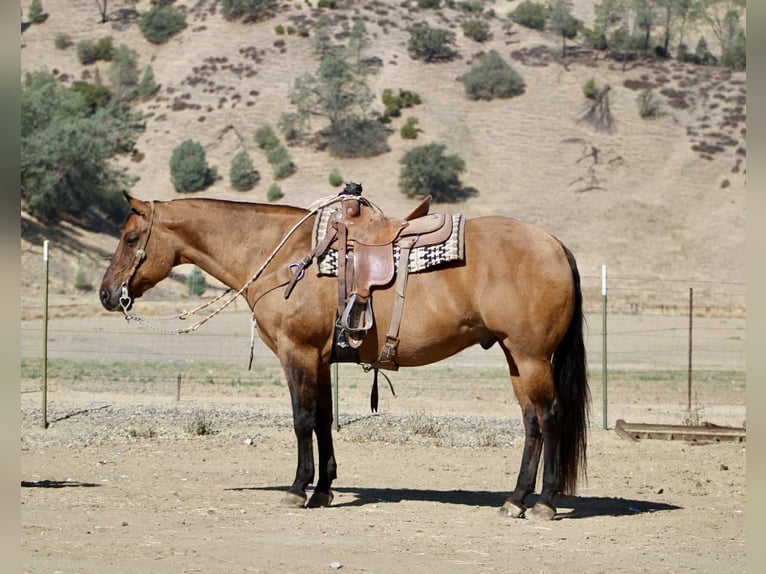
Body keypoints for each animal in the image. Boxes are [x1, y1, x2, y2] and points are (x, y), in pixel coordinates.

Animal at [99, 193, 589, 520]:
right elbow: (322, 419)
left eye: (131, 237)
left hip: (530, 357)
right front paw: (323, 489)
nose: (106, 293)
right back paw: (515, 499)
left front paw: (298, 489)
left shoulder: (297, 354)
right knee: (531, 423)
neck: (285, 256)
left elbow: (301, 420)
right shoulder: (319, 359)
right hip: (515, 358)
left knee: (549, 418)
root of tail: (555, 245)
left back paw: (544, 503)